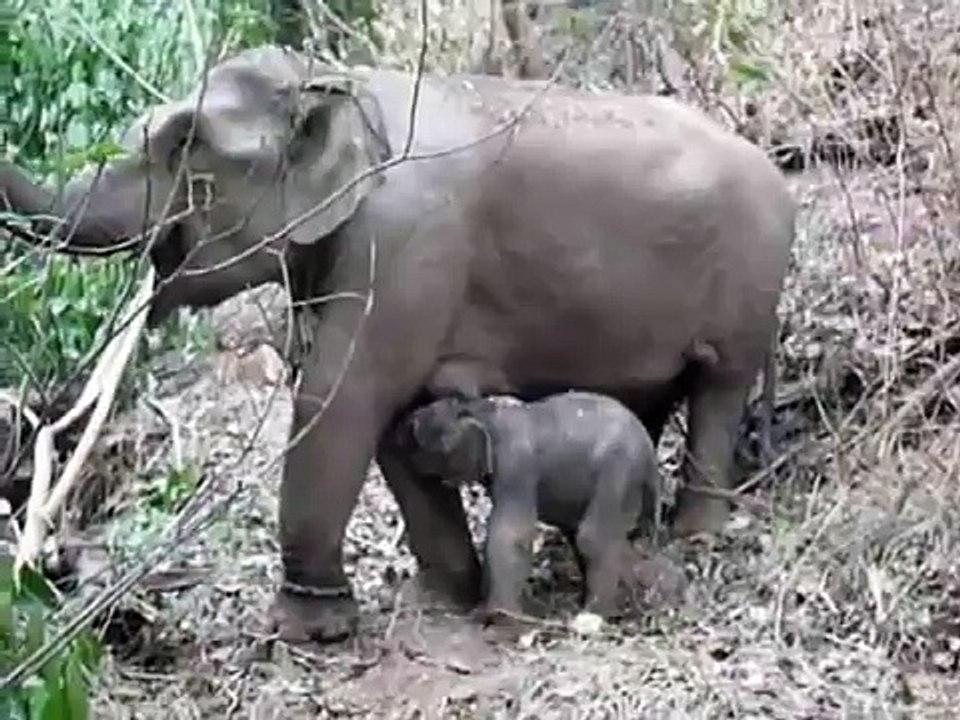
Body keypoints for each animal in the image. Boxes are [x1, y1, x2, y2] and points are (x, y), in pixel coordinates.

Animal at [397, 391, 663, 620]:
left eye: (429, 441)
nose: (407, 421)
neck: (487, 414)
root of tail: (652, 458)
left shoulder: (516, 466)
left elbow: (511, 534)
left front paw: (498, 616)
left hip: (620, 468)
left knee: (592, 538)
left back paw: (595, 614)